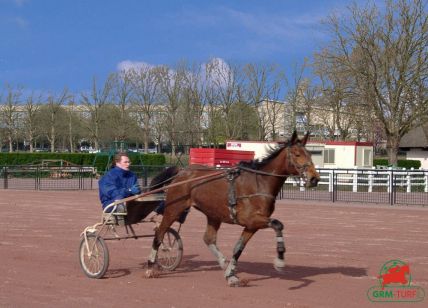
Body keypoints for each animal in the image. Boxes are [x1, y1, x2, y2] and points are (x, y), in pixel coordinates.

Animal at [145, 131, 320, 286]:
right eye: (297, 154)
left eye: (310, 154)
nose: (314, 178)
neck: (260, 182)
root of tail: (181, 171)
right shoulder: (253, 219)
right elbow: (278, 224)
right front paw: (280, 260)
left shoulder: (252, 225)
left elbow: (238, 248)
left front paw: (231, 274)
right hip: (174, 209)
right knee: (159, 234)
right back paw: (150, 267)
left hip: (213, 214)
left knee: (208, 239)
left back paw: (223, 263)